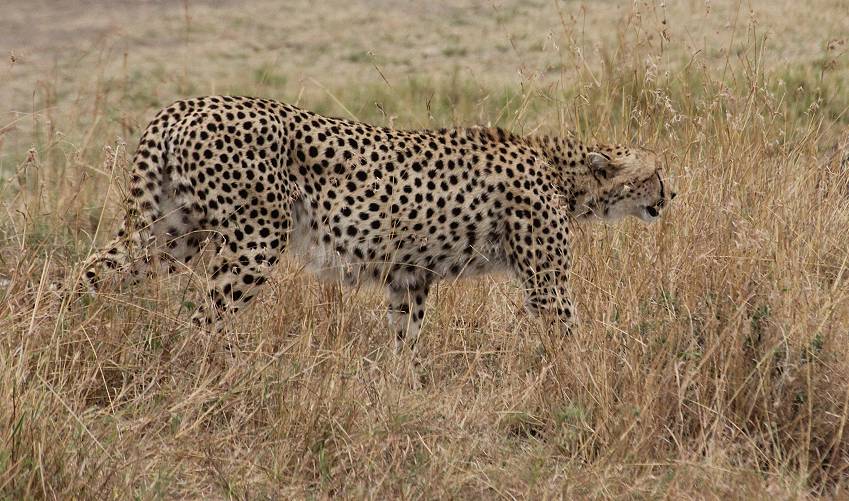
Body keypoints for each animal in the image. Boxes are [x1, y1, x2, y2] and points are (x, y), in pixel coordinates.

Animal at [79, 96, 676, 352]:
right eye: (656, 172)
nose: (671, 195)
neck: (564, 170)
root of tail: (183, 105)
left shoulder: (410, 274)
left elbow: (405, 336)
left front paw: (402, 388)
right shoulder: (547, 284)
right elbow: (569, 331)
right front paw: (586, 380)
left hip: (173, 232)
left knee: (91, 270)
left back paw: (65, 327)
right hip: (253, 238)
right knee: (207, 319)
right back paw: (222, 373)